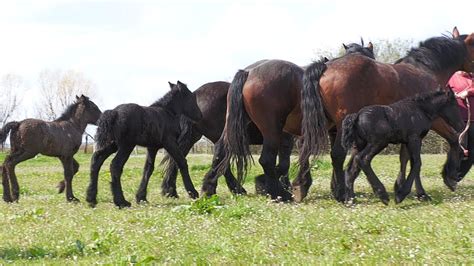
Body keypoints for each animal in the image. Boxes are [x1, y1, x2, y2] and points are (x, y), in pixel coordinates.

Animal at [298, 26, 474, 202]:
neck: (426, 70)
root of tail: (325, 66)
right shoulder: (435, 121)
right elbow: (452, 140)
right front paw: (444, 179)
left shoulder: (408, 130)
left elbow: (405, 157)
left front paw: (402, 187)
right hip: (341, 125)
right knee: (338, 154)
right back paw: (344, 195)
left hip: (325, 124)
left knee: (306, 147)